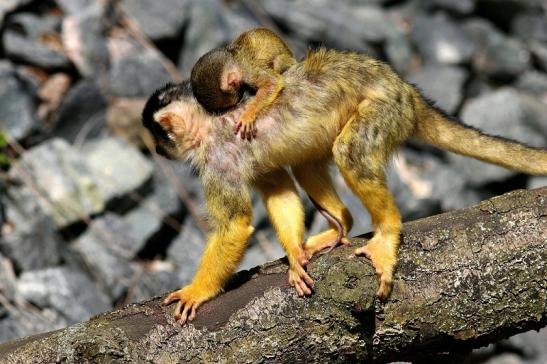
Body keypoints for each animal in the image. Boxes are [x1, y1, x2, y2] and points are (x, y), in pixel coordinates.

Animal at [142, 40, 547, 324]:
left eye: (161, 139)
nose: (160, 151)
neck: (207, 122)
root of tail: (404, 88)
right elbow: (278, 188)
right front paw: (295, 256)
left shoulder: (217, 159)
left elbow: (235, 225)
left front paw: (196, 291)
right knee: (306, 165)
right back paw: (340, 227)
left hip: (384, 107)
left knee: (349, 151)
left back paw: (387, 232)